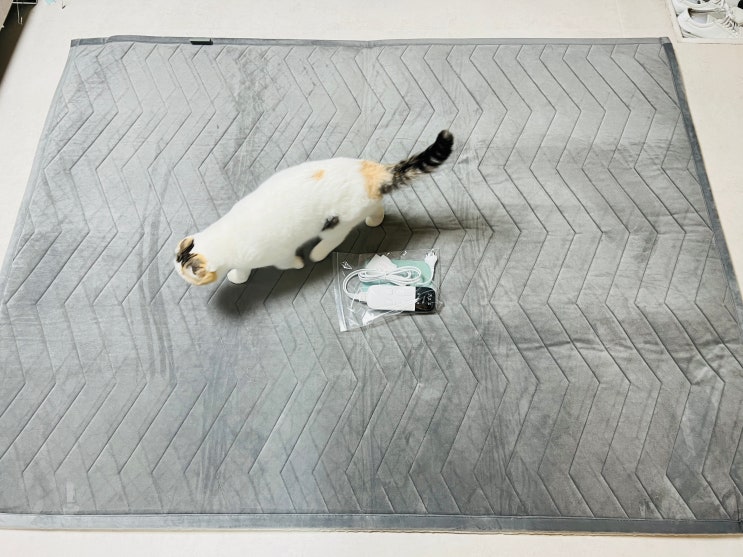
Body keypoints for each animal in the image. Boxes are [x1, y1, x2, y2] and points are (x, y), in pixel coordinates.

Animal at [175, 130, 454, 286]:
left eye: (184, 274)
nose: (176, 272)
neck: (225, 237)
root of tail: (370, 173)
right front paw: (237, 277)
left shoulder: (277, 255)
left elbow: (285, 263)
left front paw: (296, 265)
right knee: (378, 206)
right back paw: (375, 220)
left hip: (335, 225)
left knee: (333, 239)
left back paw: (317, 254)